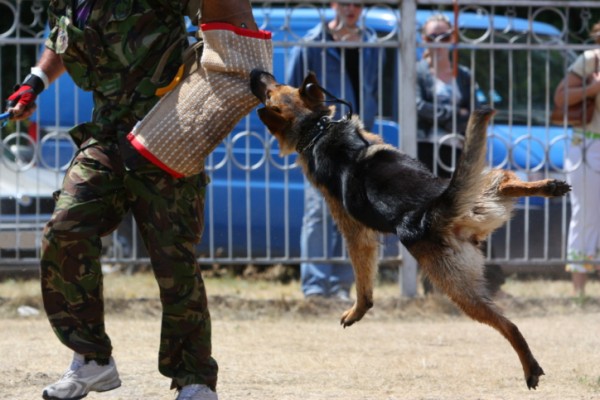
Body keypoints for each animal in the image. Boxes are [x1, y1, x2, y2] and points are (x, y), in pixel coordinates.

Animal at [250, 69, 572, 388]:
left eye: (272, 89)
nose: (256, 72)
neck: (318, 129)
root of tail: (437, 208)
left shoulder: (356, 234)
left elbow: (363, 283)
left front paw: (356, 311)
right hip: (484, 198)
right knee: (505, 180)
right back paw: (548, 186)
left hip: (458, 290)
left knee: (508, 325)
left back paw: (529, 368)